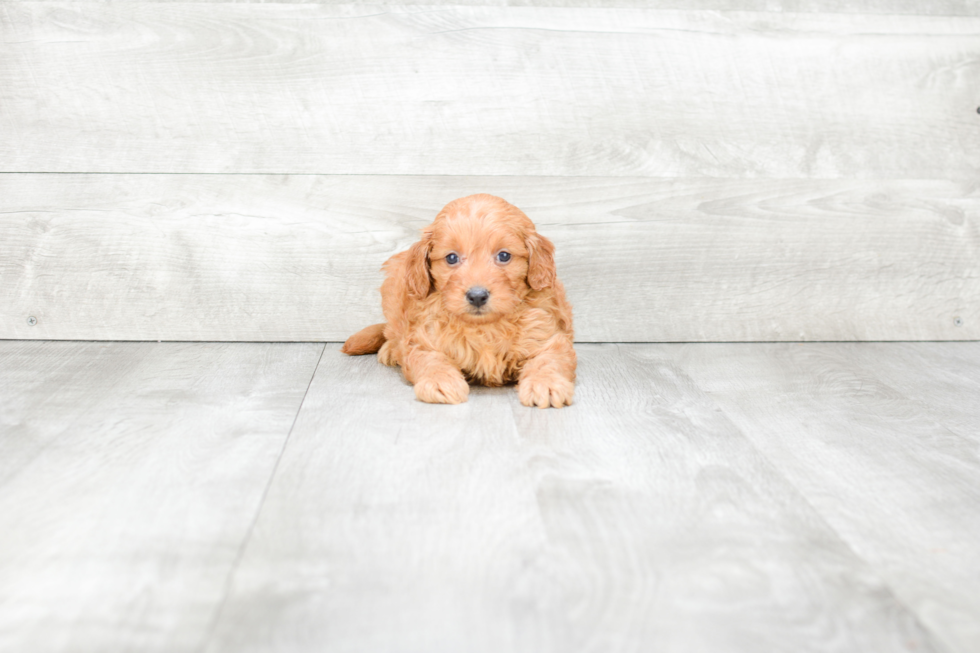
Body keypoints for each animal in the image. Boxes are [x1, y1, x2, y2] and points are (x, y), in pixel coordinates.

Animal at [342, 192, 576, 408]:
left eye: (504, 256)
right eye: (452, 258)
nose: (477, 296)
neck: (484, 327)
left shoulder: (547, 336)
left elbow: (548, 360)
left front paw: (546, 384)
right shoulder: (425, 338)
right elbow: (430, 359)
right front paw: (440, 382)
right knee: (391, 329)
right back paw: (391, 349)